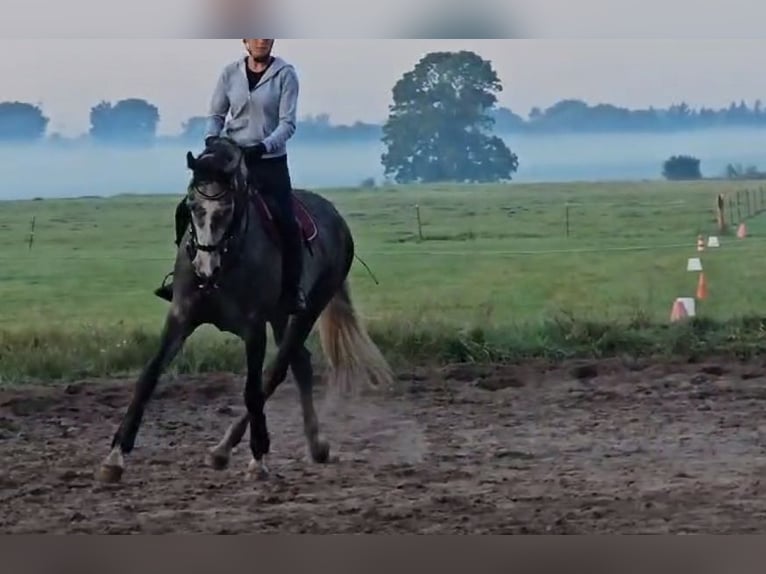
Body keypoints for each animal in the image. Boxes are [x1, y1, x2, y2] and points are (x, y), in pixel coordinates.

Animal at [97, 137, 396, 484]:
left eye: (228, 209)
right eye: (192, 206)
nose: (205, 267)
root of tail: (336, 218)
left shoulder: (253, 328)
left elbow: (252, 391)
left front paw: (259, 458)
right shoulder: (180, 318)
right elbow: (149, 377)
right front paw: (115, 456)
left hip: (308, 310)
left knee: (277, 371)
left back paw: (231, 448)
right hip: (280, 317)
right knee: (300, 364)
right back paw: (306, 444)